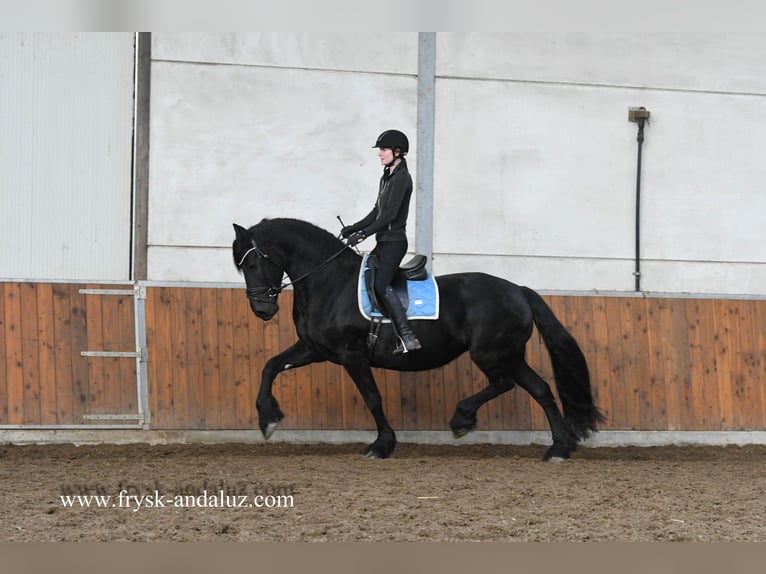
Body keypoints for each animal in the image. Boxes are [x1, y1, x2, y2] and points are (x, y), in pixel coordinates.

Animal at [231, 218, 604, 462]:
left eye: (252, 262)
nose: (262, 309)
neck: (329, 282)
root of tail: (519, 290)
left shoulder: (352, 355)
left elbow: (372, 397)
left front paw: (381, 445)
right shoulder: (314, 349)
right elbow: (270, 366)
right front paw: (267, 419)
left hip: (491, 353)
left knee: (503, 383)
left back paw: (462, 419)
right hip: (511, 354)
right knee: (540, 389)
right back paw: (559, 448)